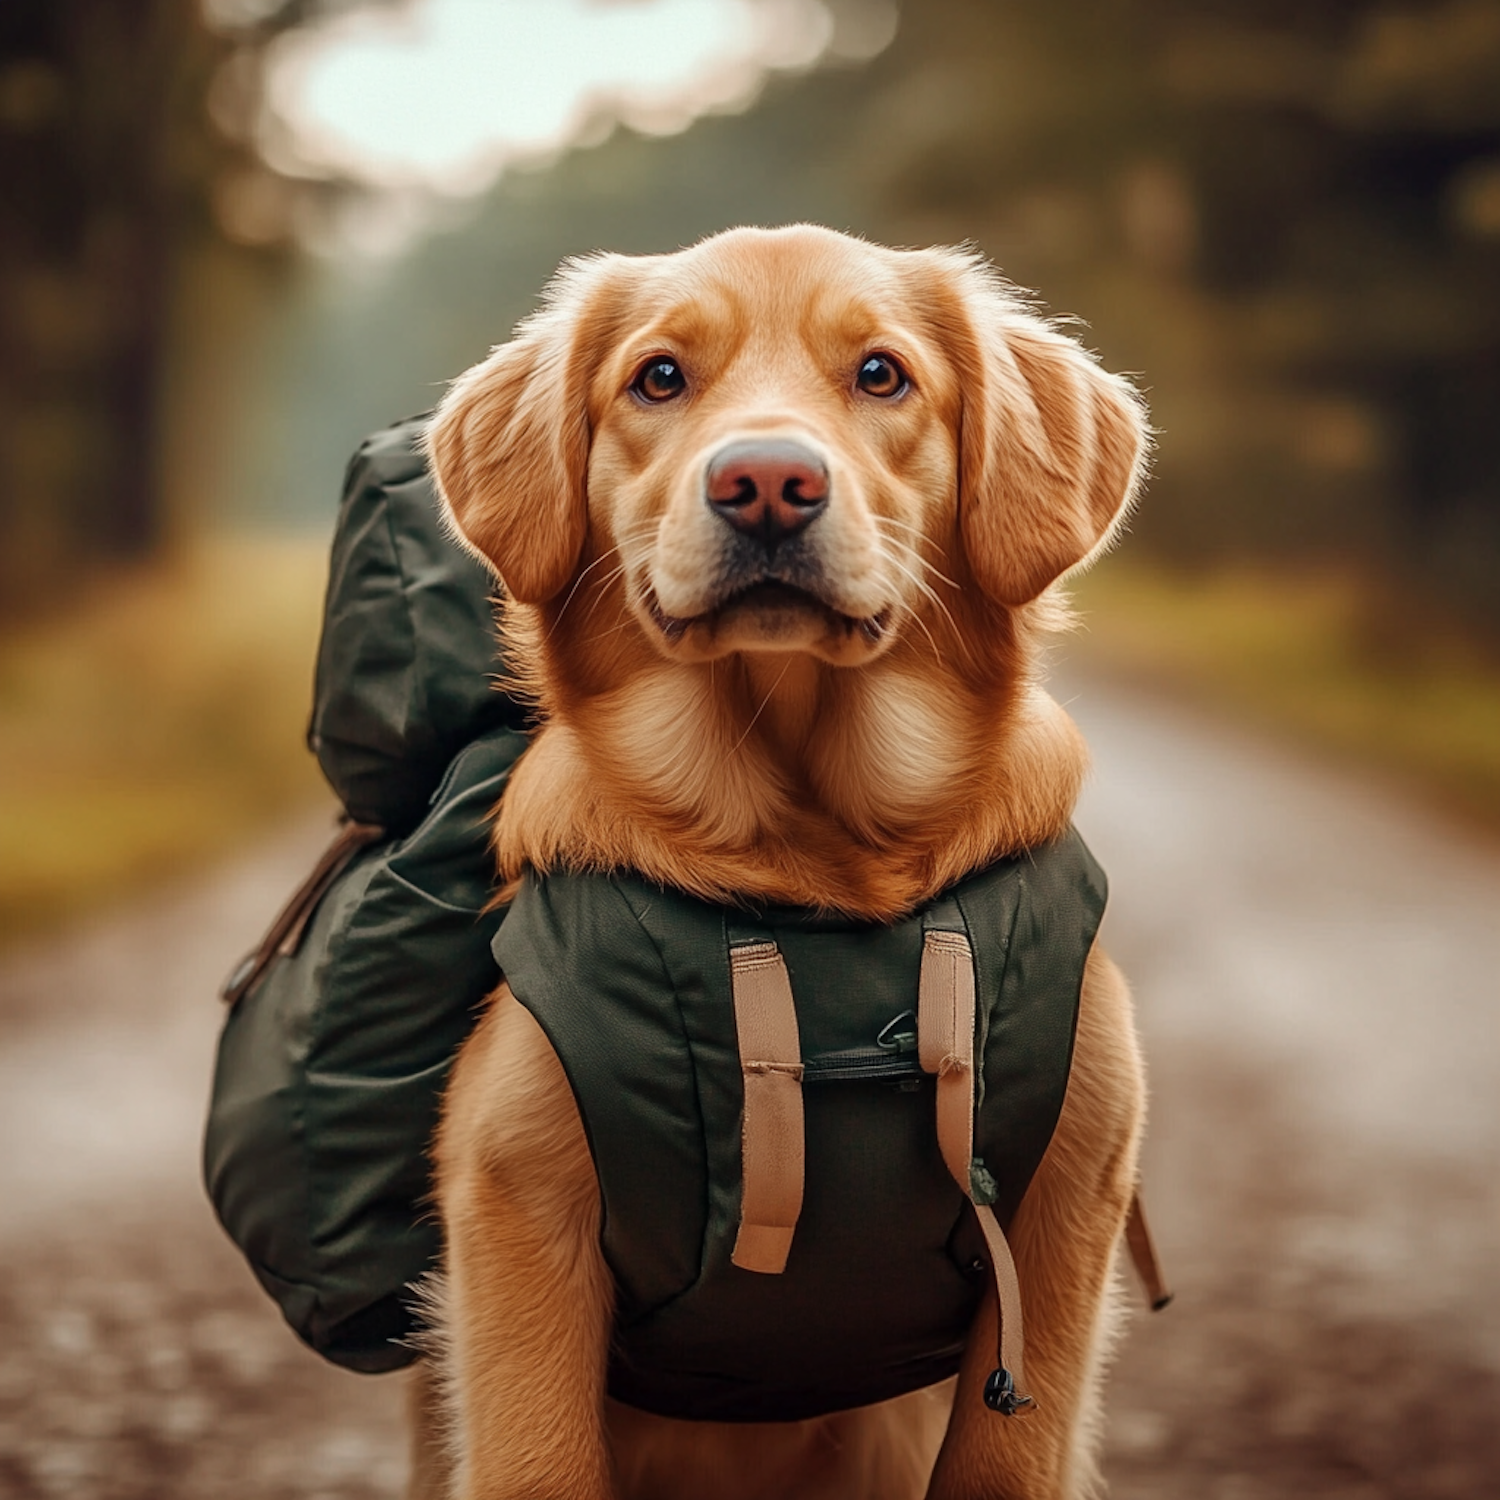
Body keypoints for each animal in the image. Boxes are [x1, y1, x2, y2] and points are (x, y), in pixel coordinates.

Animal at [417, 225, 1152, 1500]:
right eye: (659, 377)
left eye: (882, 374)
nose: (766, 483)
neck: (809, 863)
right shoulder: (519, 1215)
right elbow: (540, 1460)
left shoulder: (1068, 1209)